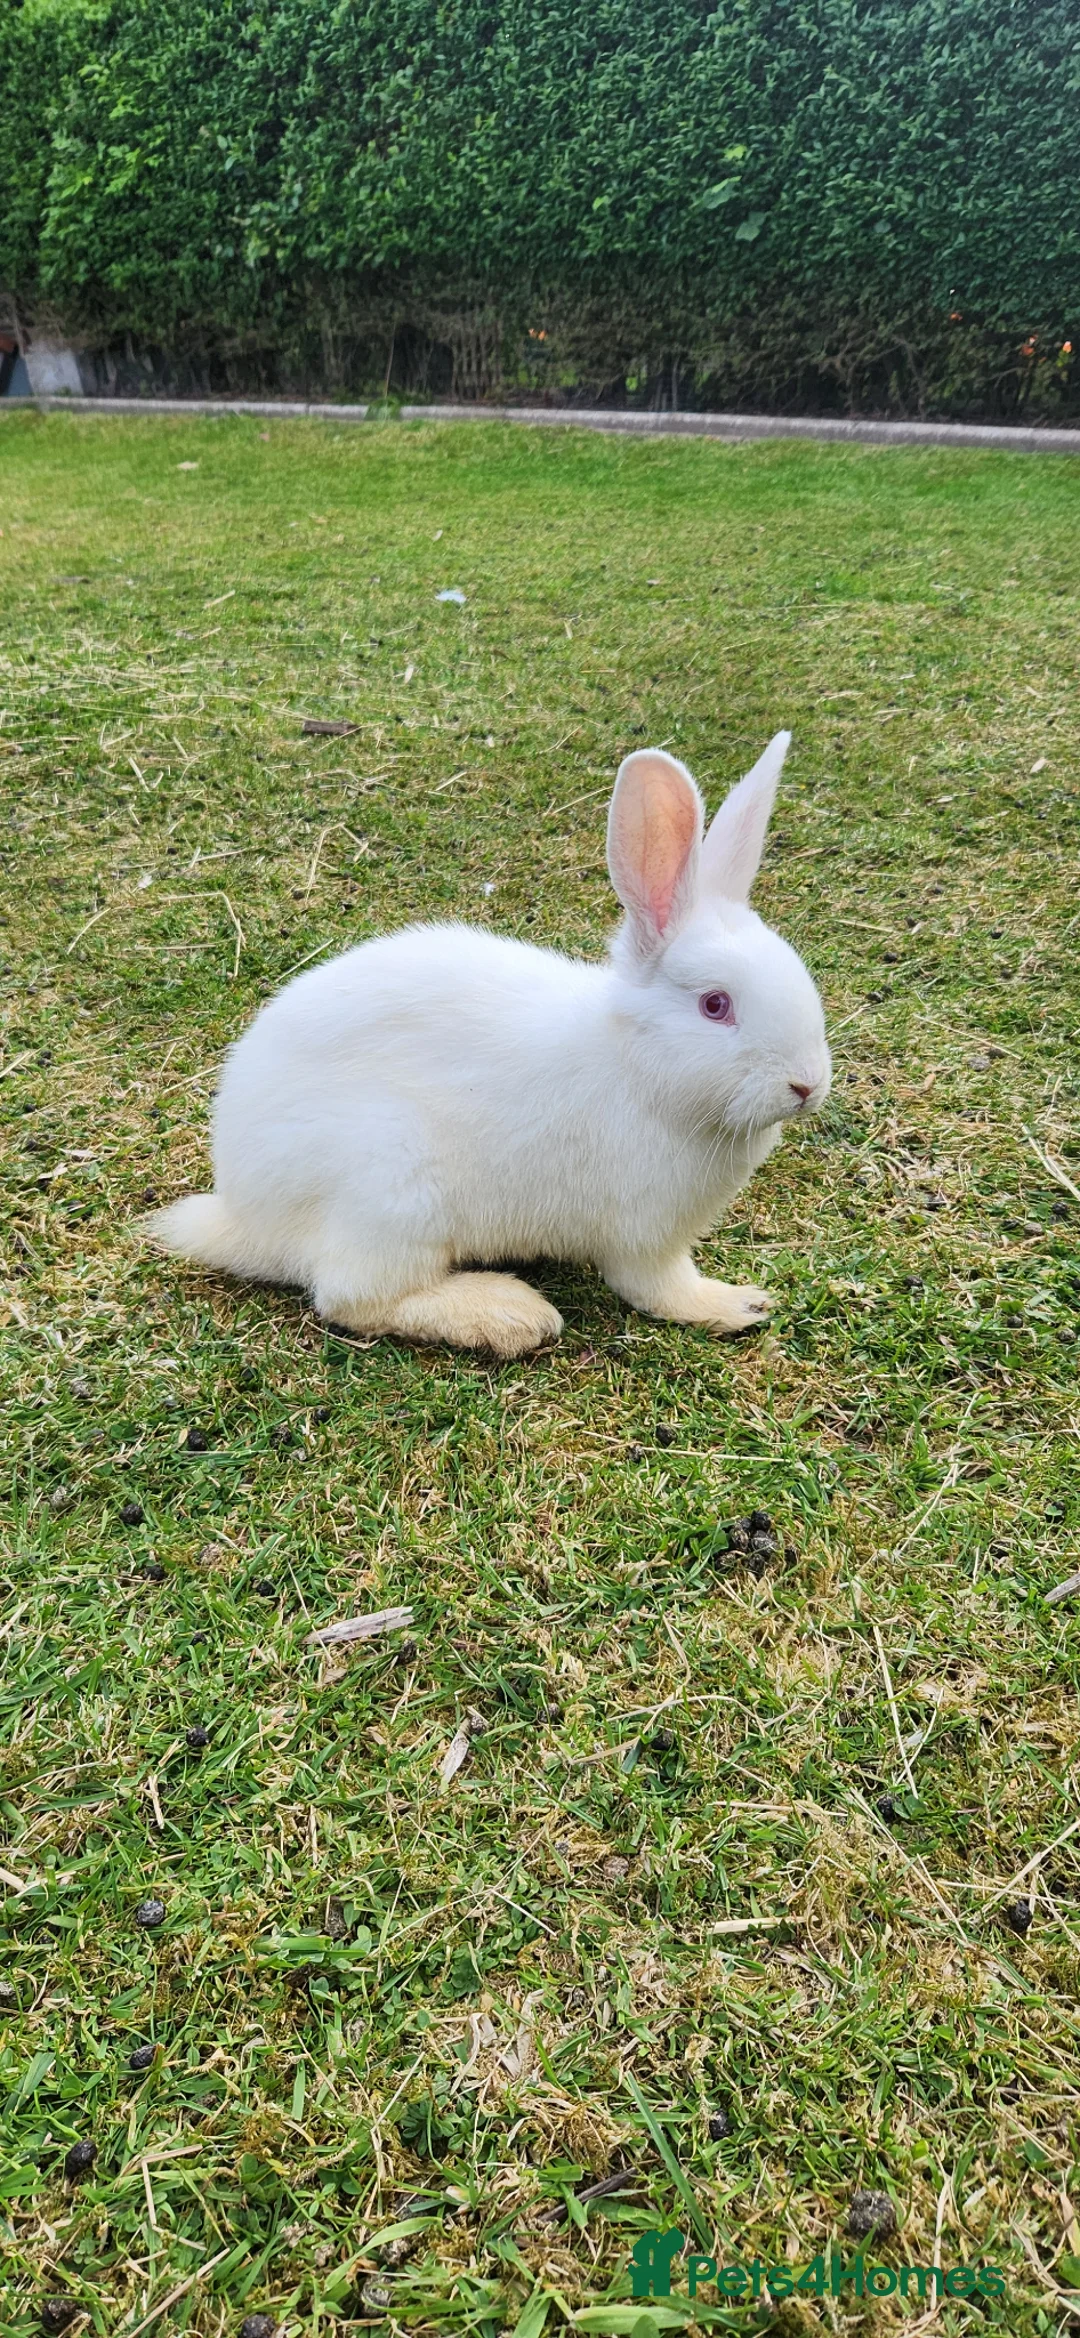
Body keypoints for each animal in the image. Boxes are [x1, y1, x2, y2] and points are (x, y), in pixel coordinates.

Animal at [148, 731, 830, 1357]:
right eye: (715, 1005)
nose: (807, 1085)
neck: (636, 1068)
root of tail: (241, 1215)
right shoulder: (644, 1239)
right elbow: (660, 1290)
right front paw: (735, 1304)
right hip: (391, 1188)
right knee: (352, 1296)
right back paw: (506, 1313)